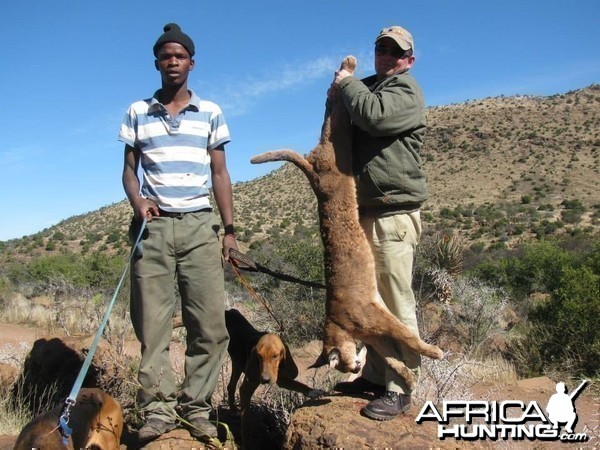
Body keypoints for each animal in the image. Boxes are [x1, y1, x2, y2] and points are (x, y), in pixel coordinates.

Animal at [225, 310, 326, 450]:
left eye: (275, 356)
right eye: (259, 356)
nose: (265, 380)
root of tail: (228, 311)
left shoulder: (281, 378)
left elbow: (297, 384)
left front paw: (312, 391)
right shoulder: (245, 389)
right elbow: (245, 424)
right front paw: (245, 444)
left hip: (237, 363)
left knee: (230, 386)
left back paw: (233, 410)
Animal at [251, 55, 442, 386]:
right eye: (344, 366)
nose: (353, 369)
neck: (339, 321)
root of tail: (313, 174)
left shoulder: (376, 316)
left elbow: (406, 334)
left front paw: (431, 353)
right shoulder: (375, 329)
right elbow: (392, 356)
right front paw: (408, 378)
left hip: (335, 153)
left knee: (333, 117)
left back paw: (345, 71)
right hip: (338, 153)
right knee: (333, 116)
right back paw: (344, 71)